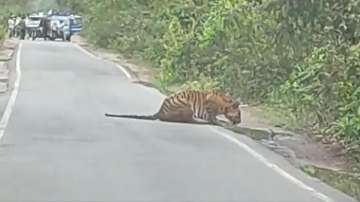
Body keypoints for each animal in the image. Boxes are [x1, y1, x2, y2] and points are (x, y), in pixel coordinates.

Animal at [105, 89, 242, 124]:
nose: (240, 121)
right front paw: (224, 123)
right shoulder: (210, 109)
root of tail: (160, 111)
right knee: (185, 119)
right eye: (239, 114)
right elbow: (215, 119)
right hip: (186, 104)